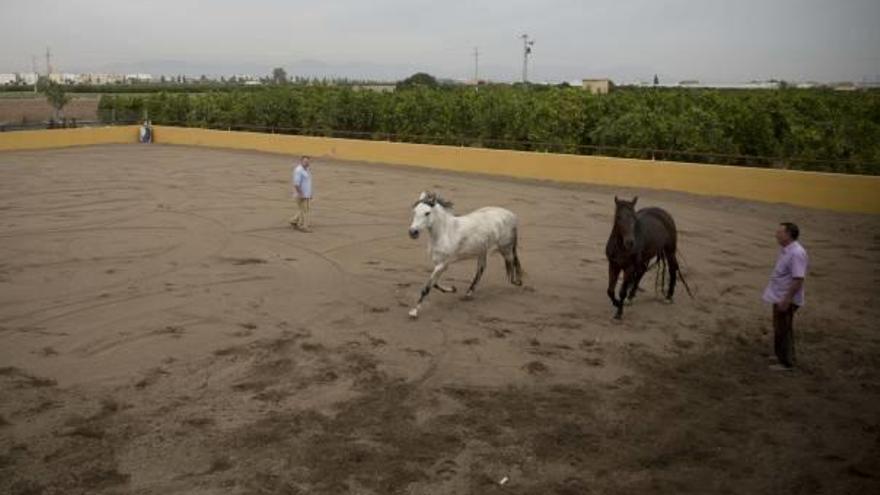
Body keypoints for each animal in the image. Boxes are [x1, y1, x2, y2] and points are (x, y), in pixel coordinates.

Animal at [408, 190, 524, 318]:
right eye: (415, 211)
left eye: (427, 213)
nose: (412, 232)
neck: (445, 233)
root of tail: (512, 215)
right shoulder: (439, 264)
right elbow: (435, 283)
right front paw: (452, 289)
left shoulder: (443, 264)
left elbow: (427, 287)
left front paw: (414, 311)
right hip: (482, 251)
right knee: (481, 270)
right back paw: (468, 293)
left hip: (505, 249)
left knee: (512, 268)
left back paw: (518, 281)